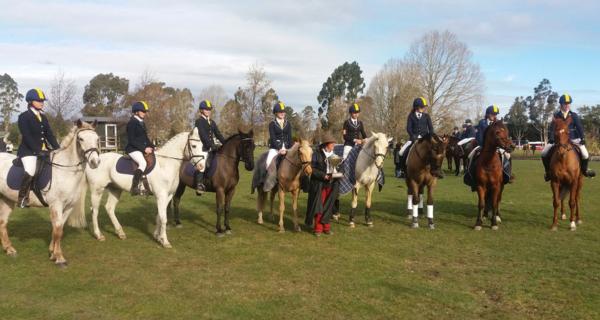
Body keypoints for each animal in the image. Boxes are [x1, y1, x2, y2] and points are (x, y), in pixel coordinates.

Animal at [0, 121, 100, 266]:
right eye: (81, 139)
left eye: (97, 139)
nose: (95, 162)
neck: (65, 170)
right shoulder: (56, 204)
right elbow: (57, 229)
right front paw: (59, 258)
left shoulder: (69, 206)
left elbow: (59, 228)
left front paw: (52, 252)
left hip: (7, 200)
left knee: (3, 222)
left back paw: (9, 249)